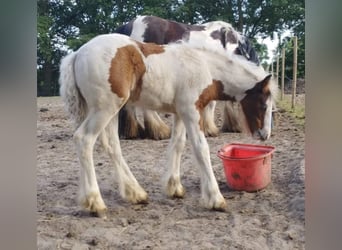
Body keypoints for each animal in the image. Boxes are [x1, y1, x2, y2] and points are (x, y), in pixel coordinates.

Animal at [59, 32, 278, 217]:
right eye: (263, 104)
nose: (265, 134)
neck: (205, 67)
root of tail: (77, 54)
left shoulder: (180, 113)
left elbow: (178, 144)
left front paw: (175, 188)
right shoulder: (191, 111)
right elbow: (201, 149)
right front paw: (216, 199)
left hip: (111, 110)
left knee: (112, 146)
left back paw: (136, 193)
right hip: (105, 108)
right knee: (84, 139)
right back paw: (95, 202)